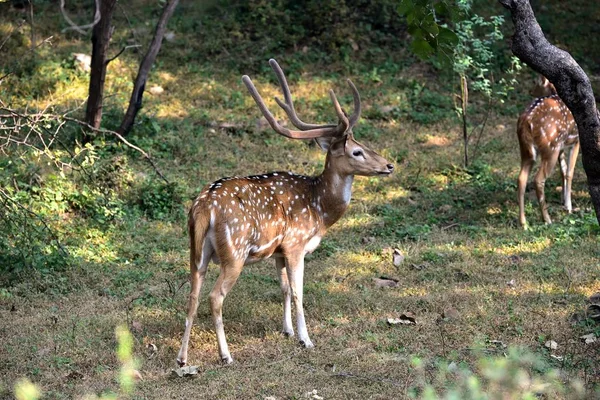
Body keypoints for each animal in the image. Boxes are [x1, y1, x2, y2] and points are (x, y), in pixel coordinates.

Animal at [177, 59, 394, 366]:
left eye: (364, 144)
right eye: (356, 152)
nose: (389, 165)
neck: (320, 209)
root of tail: (204, 206)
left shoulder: (277, 251)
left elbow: (283, 289)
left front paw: (287, 330)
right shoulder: (295, 243)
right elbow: (298, 291)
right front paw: (306, 339)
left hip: (196, 251)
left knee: (192, 295)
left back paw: (182, 358)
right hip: (234, 252)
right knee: (215, 296)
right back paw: (226, 355)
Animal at [516, 74, 580, 225]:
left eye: (536, 82)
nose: (530, 91)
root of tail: (526, 120)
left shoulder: (562, 146)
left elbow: (563, 171)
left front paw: (563, 201)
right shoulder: (576, 140)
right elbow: (570, 173)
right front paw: (569, 207)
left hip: (526, 149)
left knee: (521, 179)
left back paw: (523, 222)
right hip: (551, 146)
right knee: (538, 179)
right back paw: (547, 219)